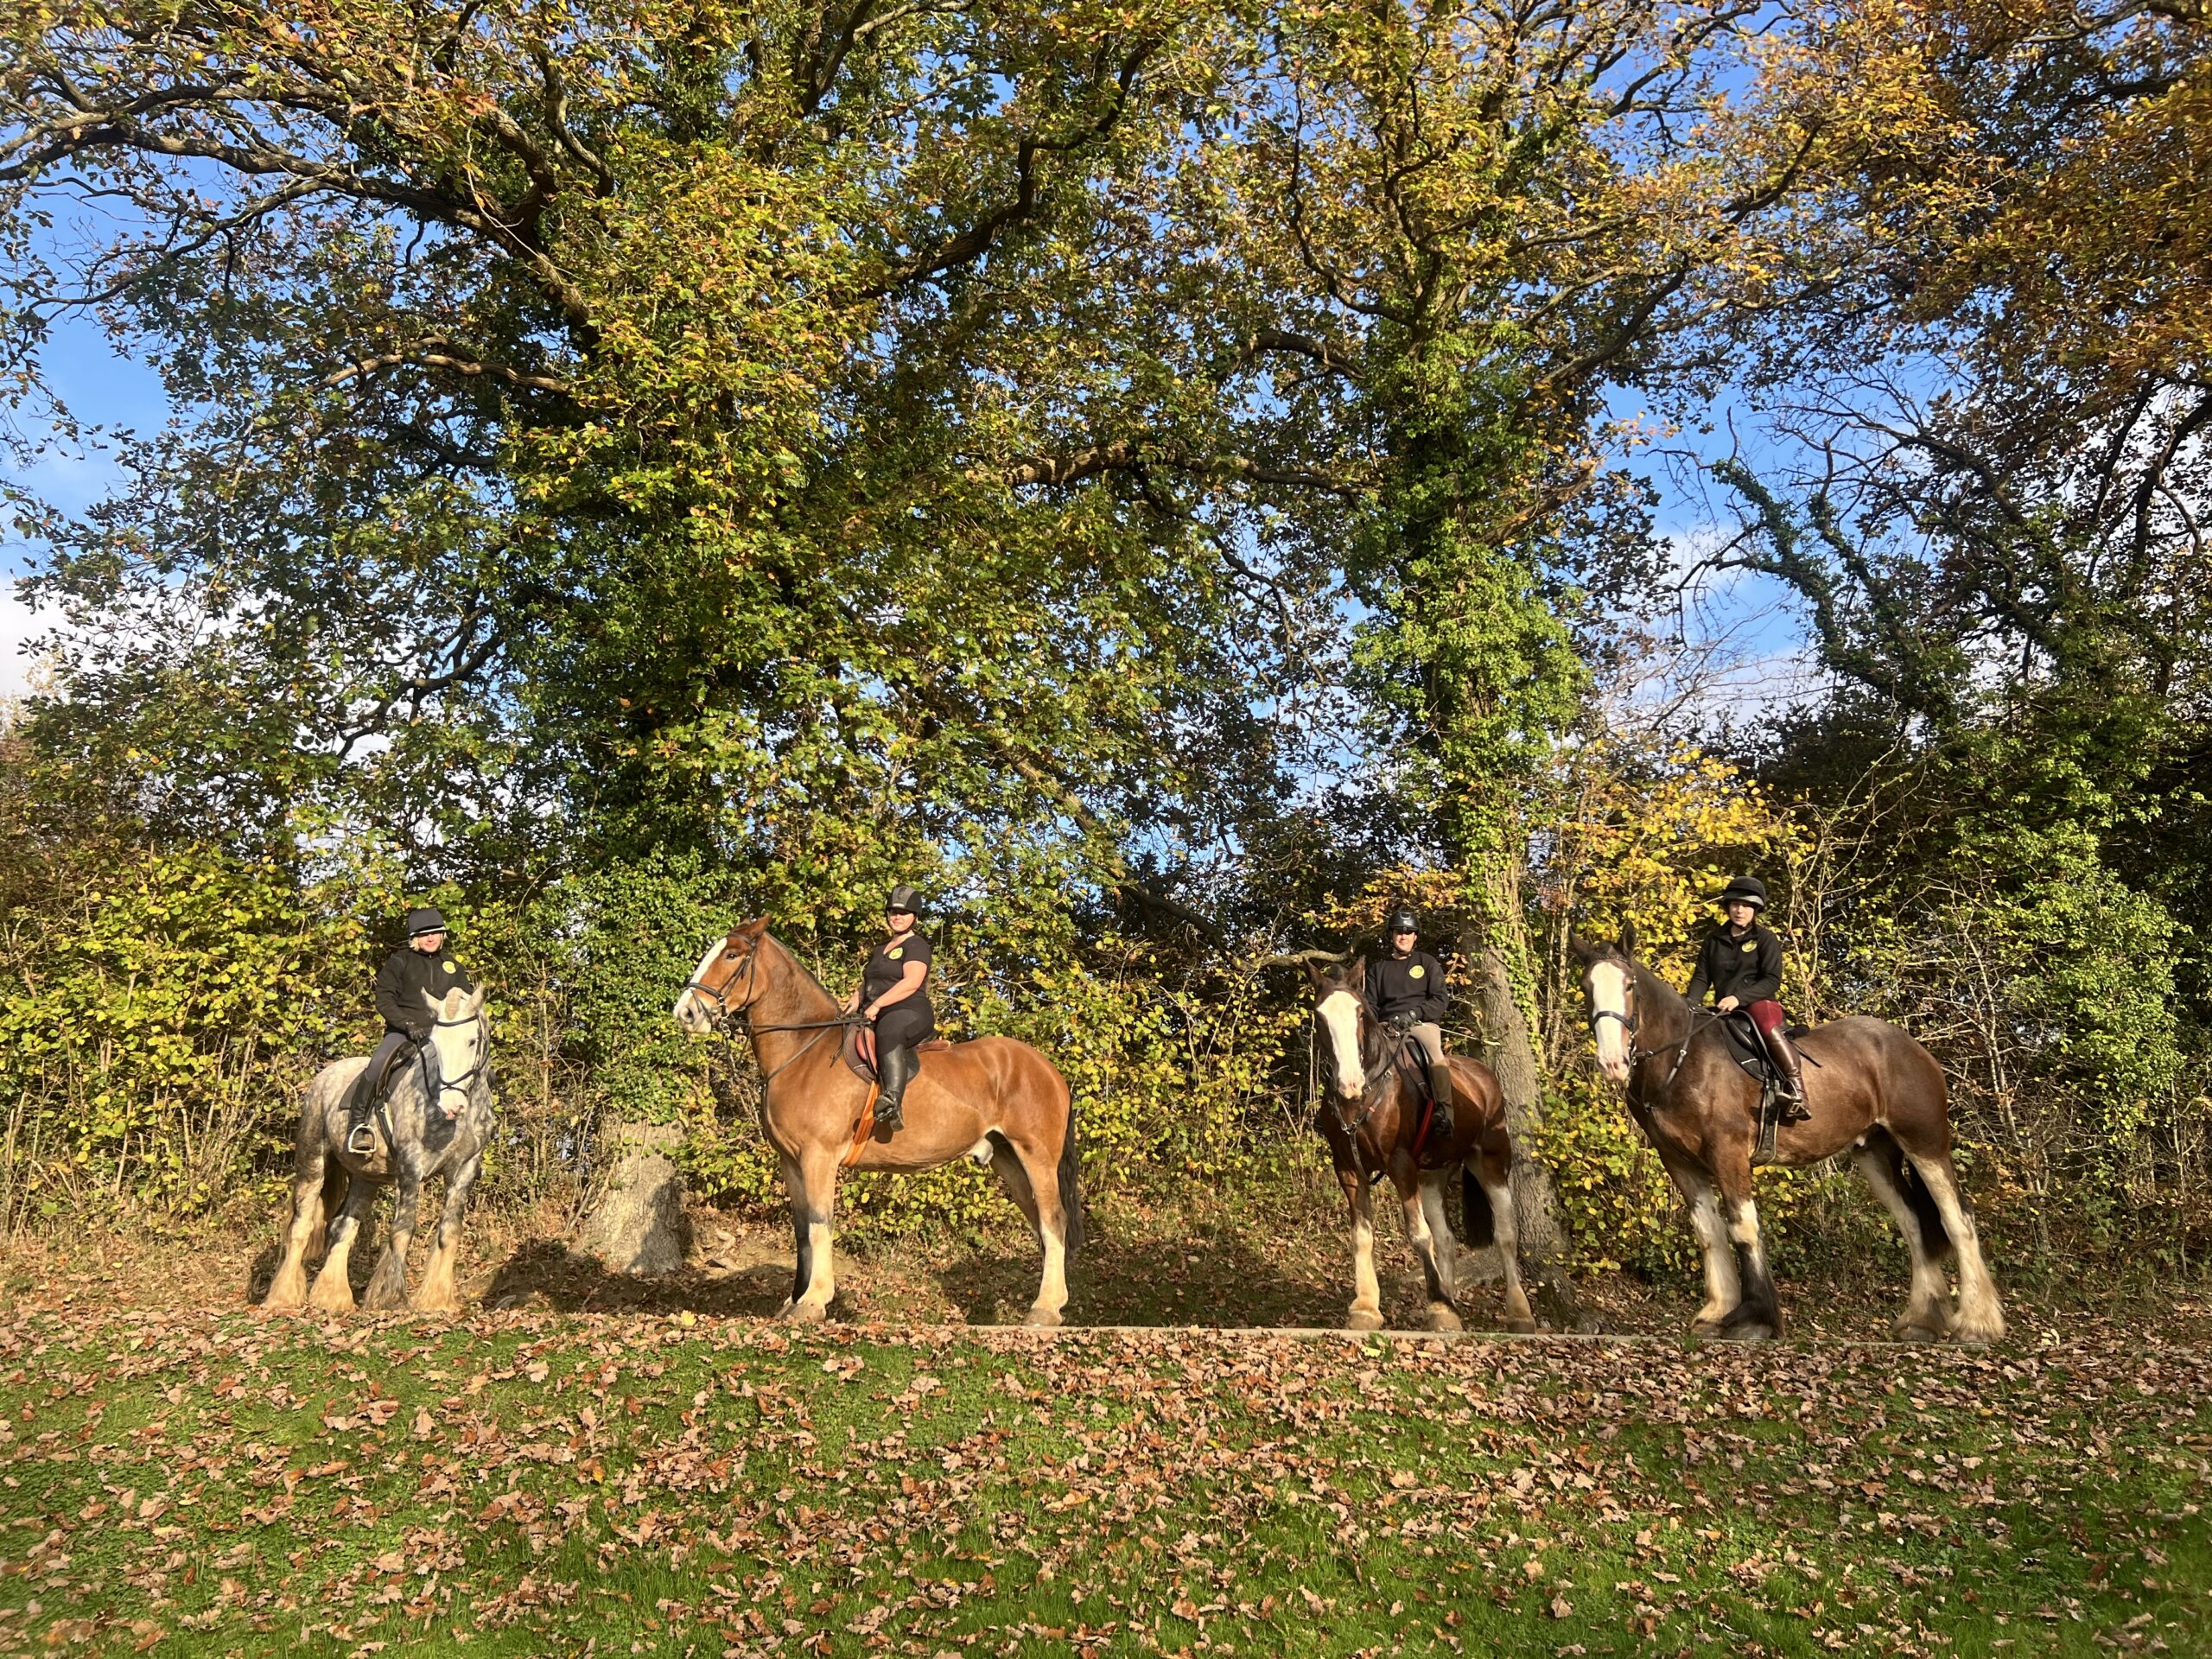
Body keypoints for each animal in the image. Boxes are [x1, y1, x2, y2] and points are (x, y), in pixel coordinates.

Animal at [672, 925, 1088, 1327]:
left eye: (731, 955)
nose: (686, 1013)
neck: (804, 1050)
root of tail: (1048, 1069)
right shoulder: (791, 1162)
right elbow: (802, 1231)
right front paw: (793, 1302)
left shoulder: (818, 1157)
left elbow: (819, 1225)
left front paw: (813, 1302)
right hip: (1008, 1159)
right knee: (1041, 1223)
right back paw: (1051, 1302)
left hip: (1036, 1156)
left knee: (1054, 1220)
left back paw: (1044, 1309)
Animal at [1300, 960, 1530, 1336]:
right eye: (1320, 1016)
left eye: (1360, 1013)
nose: (1349, 1083)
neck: (1365, 1094)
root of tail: (1482, 1075)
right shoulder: (1348, 1169)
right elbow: (1362, 1236)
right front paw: (1367, 1308)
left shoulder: (1401, 1164)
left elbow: (1418, 1234)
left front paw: (1435, 1301)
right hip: (1433, 1175)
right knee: (1447, 1239)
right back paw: (1449, 1307)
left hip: (1492, 1162)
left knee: (1506, 1235)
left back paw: (1519, 1313)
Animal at [1574, 929, 2008, 1344]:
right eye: (1586, 986)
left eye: (1630, 985)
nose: (1612, 1063)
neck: (1683, 1058)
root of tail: (1914, 1049)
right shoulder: (1679, 1162)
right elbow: (1709, 1233)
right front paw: (1715, 1315)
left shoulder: (1728, 1152)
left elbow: (1742, 1228)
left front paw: (1756, 1320)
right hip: (1875, 1154)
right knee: (1914, 1222)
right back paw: (1920, 1321)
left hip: (1924, 1142)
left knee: (1957, 1218)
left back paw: (1977, 1324)